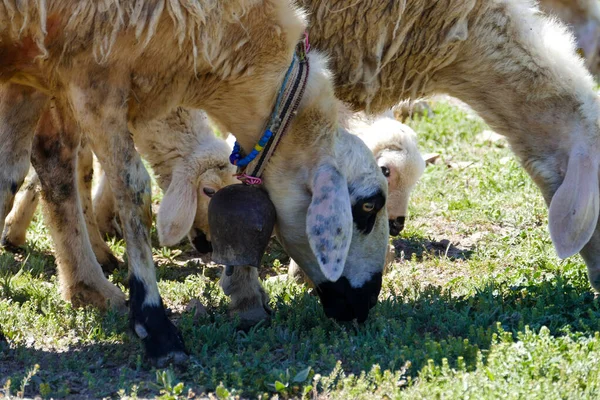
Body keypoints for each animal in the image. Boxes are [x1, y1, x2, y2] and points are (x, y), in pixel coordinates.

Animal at [0, 0, 390, 362]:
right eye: (368, 205)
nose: (369, 302)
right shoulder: (94, 74)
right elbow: (133, 188)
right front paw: (155, 326)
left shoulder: (32, 71)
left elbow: (9, 175)